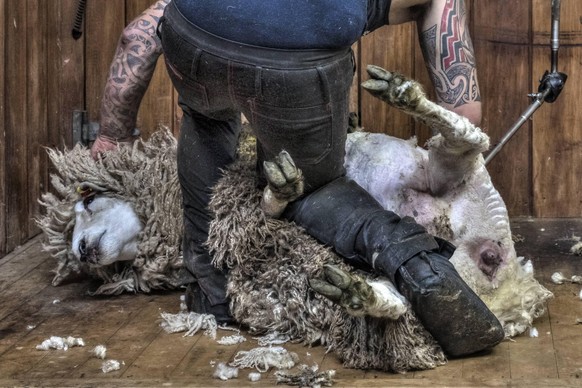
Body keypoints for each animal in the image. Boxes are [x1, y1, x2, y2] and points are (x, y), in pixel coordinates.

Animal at [37, 66, 552, 372]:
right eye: (107, 271)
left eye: (87, 198)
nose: (82, 251)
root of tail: (516, 290)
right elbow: (273, 209)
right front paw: (280, 190)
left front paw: (281, 185)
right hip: (427, 280)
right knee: (404, 302)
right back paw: (366, 294)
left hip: (456, 168)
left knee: (469, 135)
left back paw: (404, 95)